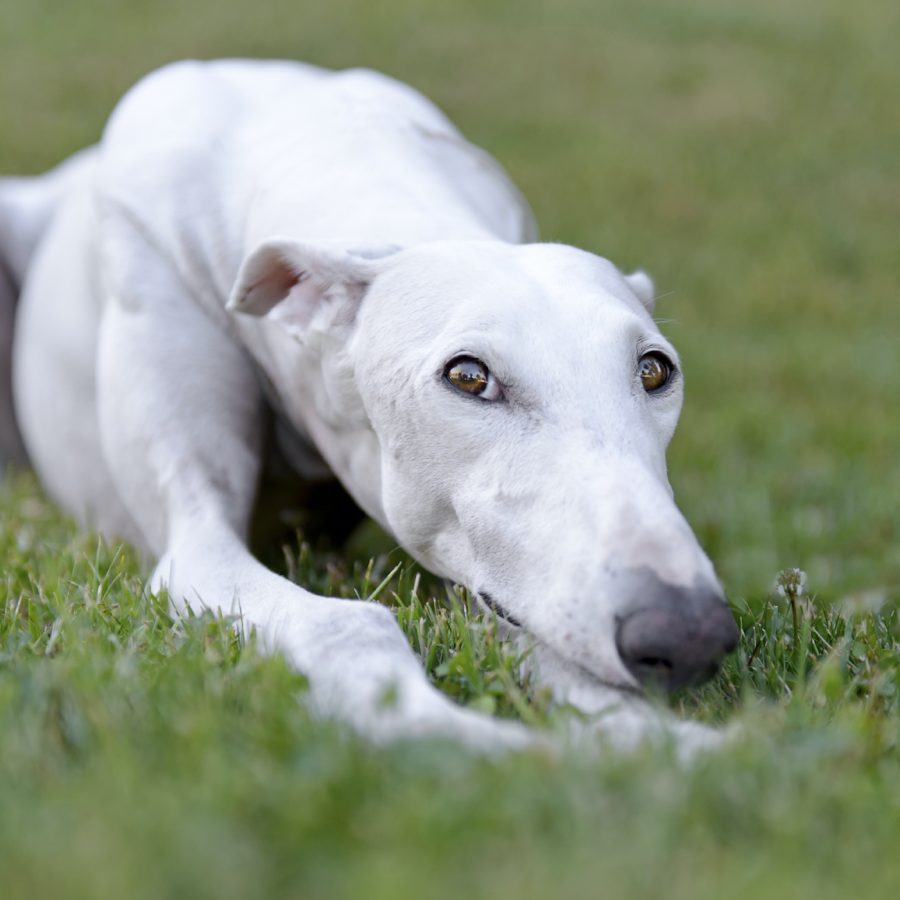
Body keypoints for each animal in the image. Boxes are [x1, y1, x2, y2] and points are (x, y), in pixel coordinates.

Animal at [1, 59, 740, 752]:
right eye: (468, 376)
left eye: (655, 370)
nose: (690, 633)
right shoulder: (193, 544)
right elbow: (350, 625)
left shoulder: (494, 577)